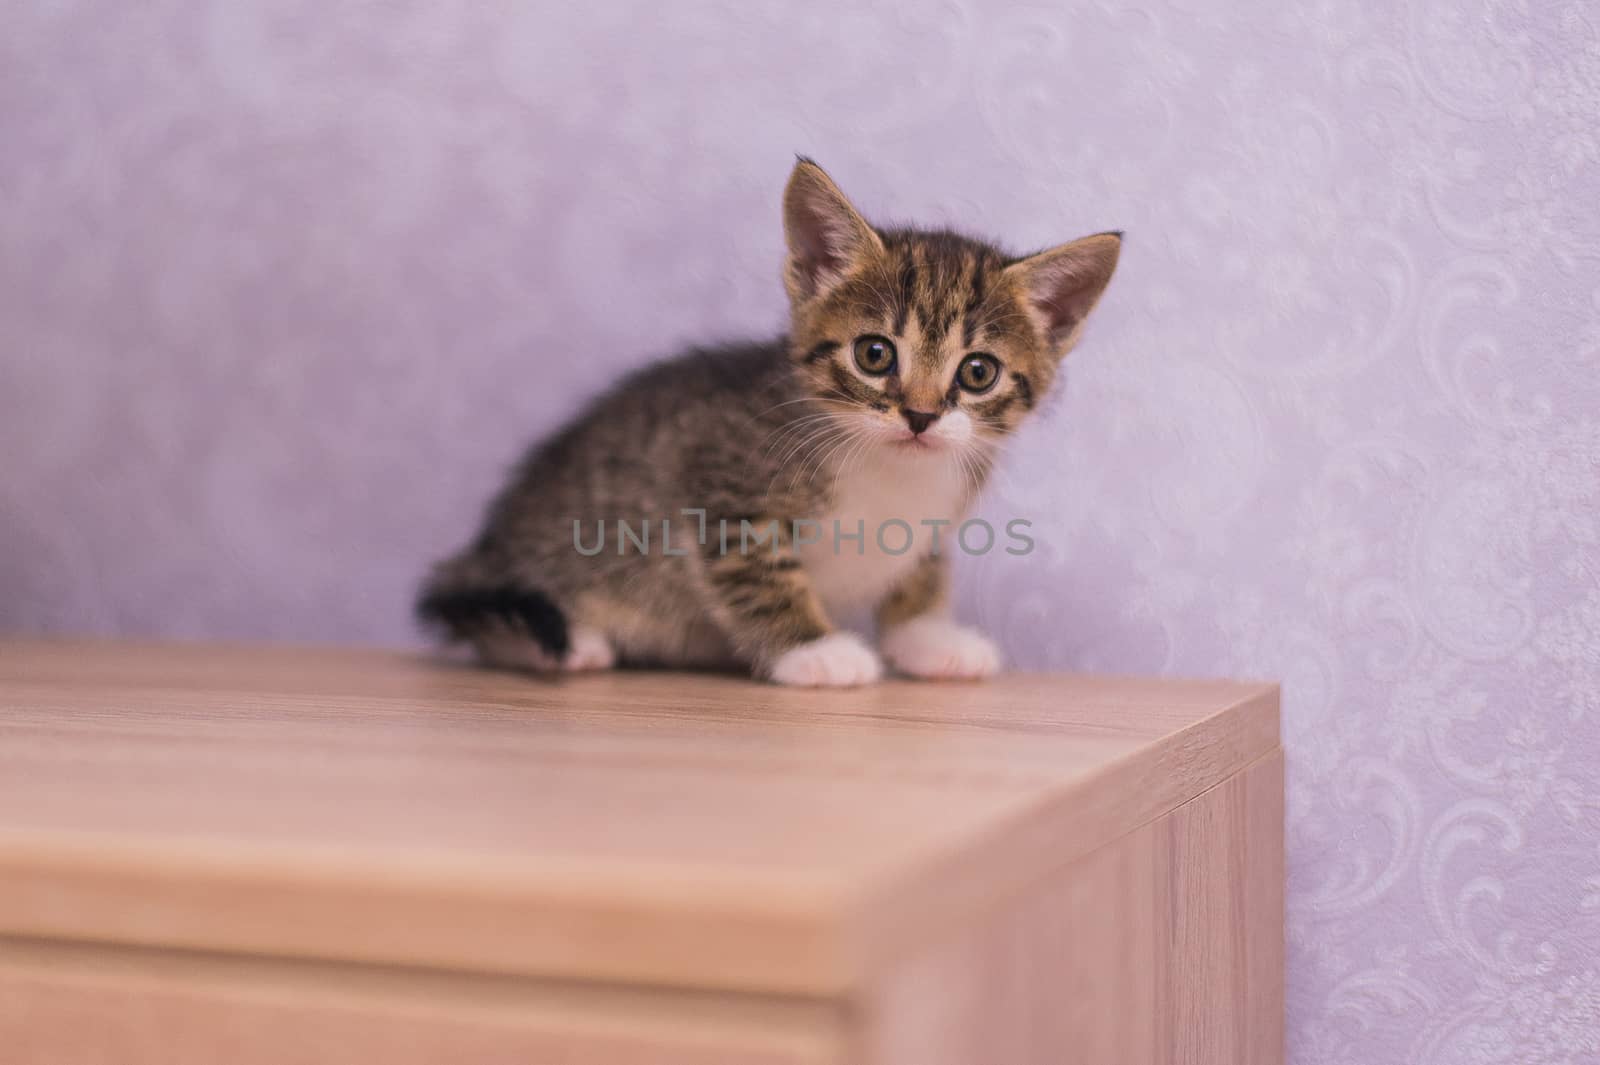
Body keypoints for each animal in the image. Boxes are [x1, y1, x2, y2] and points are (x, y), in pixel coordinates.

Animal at [419, 159, 1120, 687]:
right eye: (874, 354)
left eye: (978, 372)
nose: (921, 415)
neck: (887, 465)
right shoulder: (717, 478)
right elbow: (760, 575)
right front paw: (814, 650)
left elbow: (921, 573)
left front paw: (926, 638)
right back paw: (566, 643)